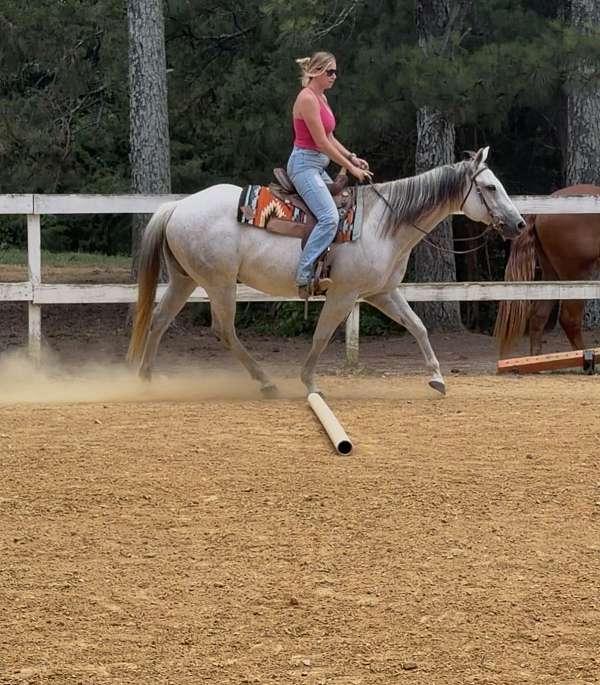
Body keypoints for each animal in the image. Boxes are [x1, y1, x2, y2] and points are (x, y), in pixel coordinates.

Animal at [127, 147, 524, 397]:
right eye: (490, 187)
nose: (518, 224)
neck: (383, 223)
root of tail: (178, 206)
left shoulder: (381, 292)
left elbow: (418, 326)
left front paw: (438, 379)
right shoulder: (344, 294)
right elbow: (321, 335)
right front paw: (309, 382)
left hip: (185, 280)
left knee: (159, 320)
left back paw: (146, 381)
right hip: (220, 284)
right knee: (224, 331)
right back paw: (266, 382)